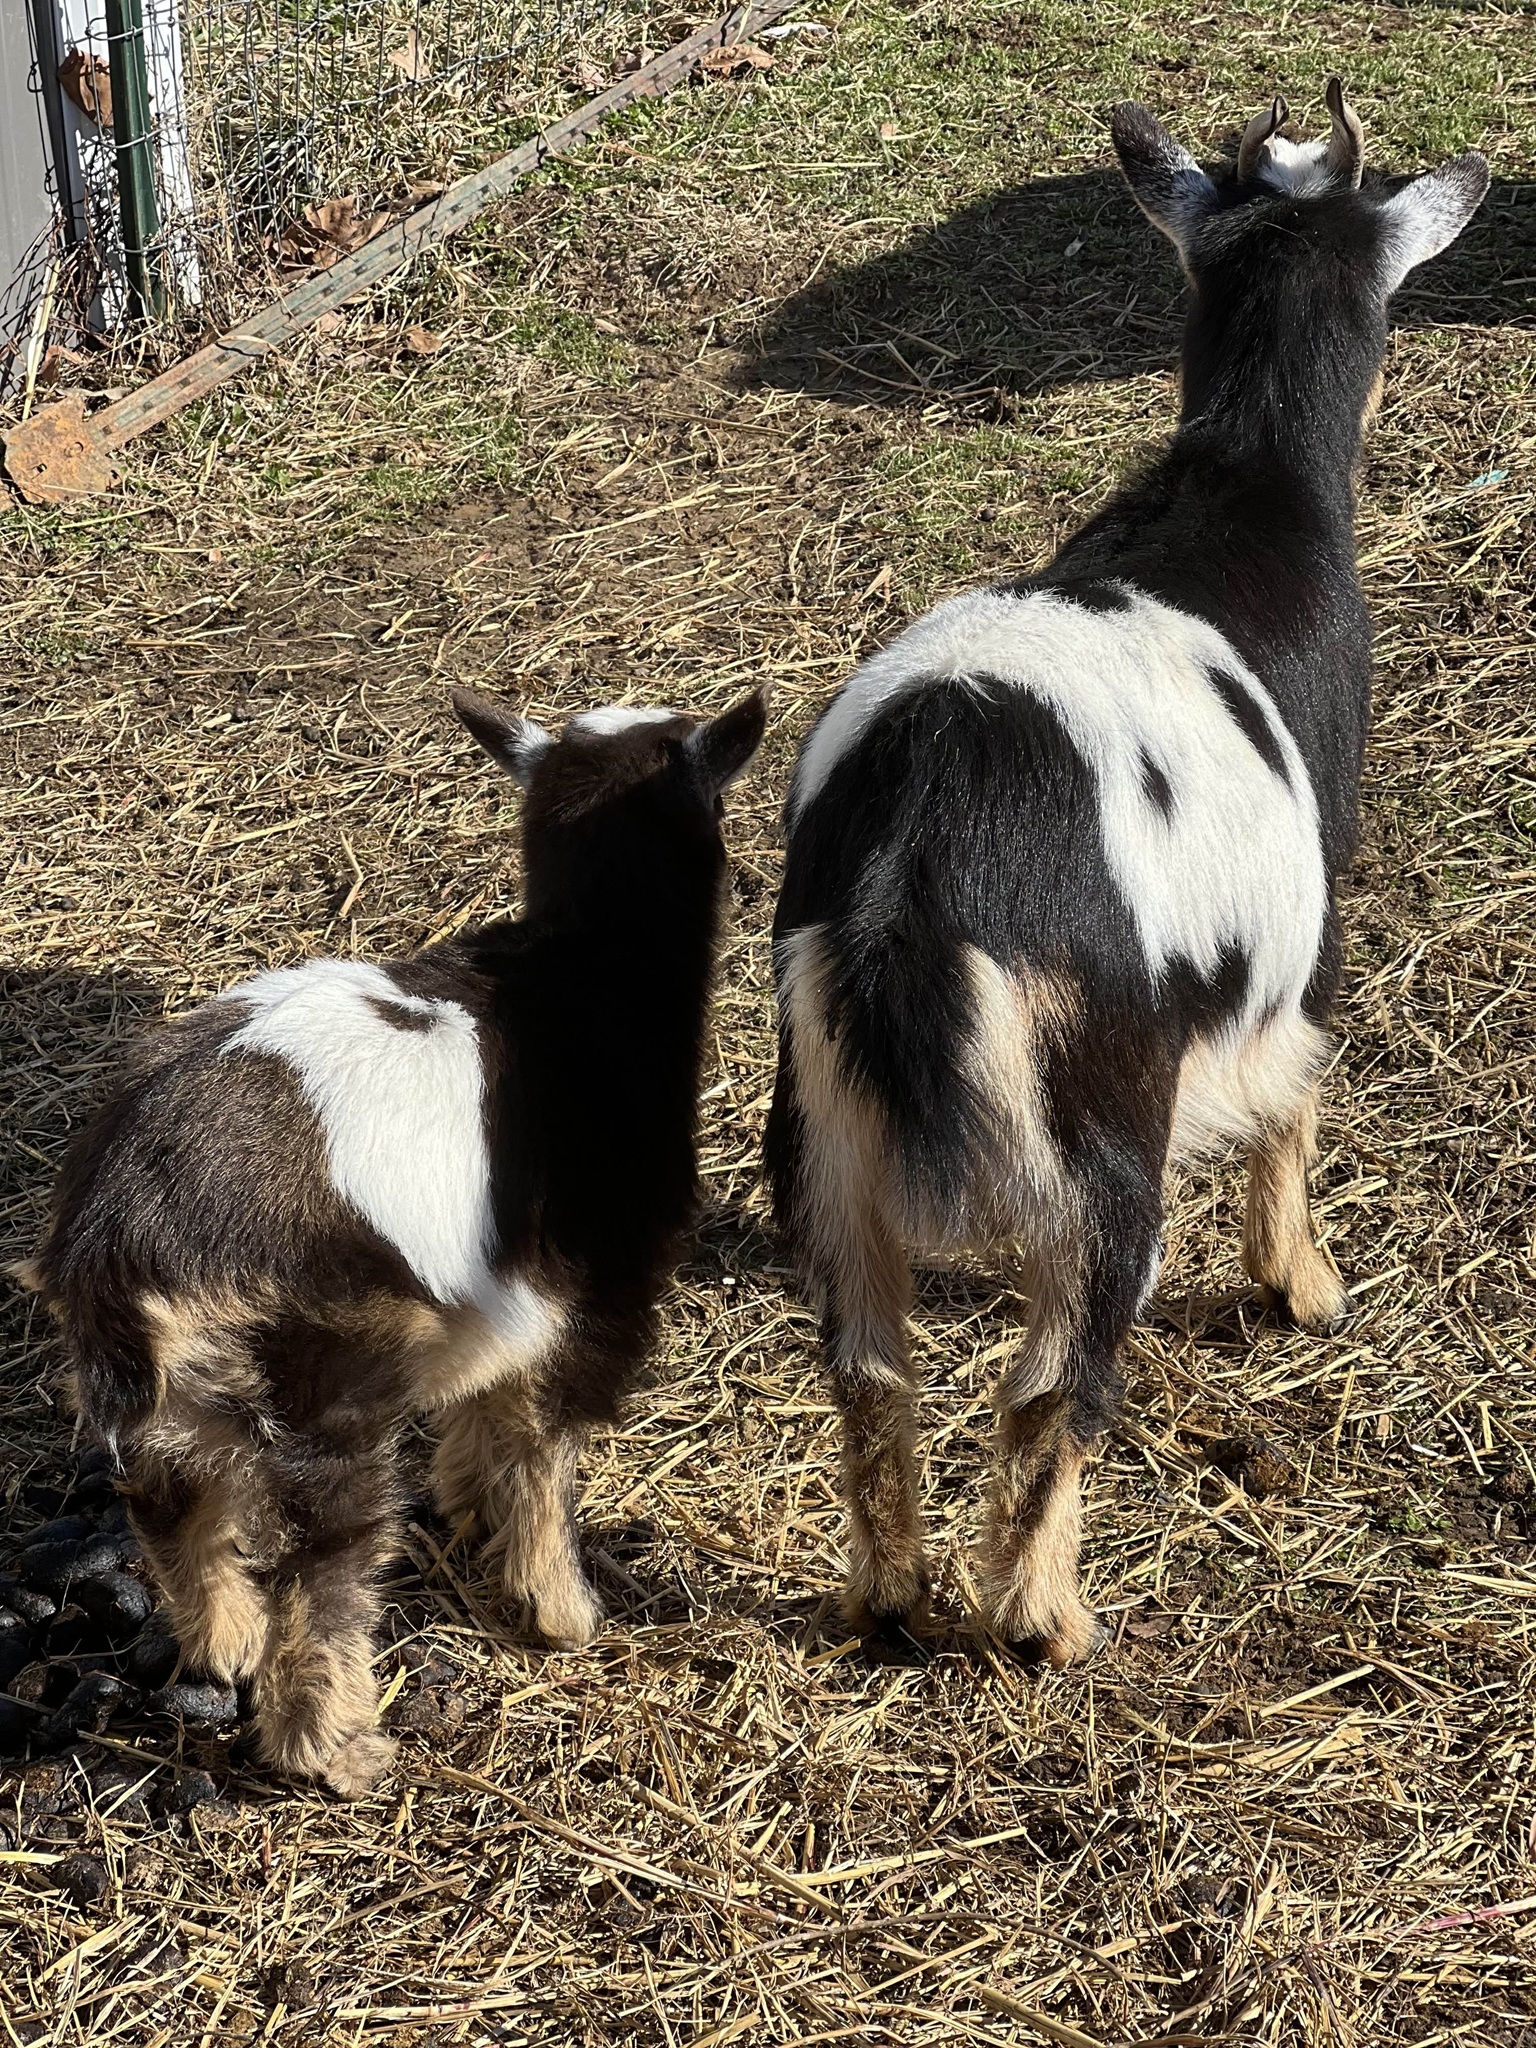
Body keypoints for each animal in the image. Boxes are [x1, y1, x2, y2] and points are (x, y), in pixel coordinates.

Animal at [17, 686, 767, 1795]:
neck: (588, 972)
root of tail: (123, 1227)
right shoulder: (602, 1284)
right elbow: (546, 1445)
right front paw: (560, 1611)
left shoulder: (504, 1286)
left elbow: (494, 1406)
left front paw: (465, 1499)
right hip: (327, 1375)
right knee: (324, 1560)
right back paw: (335, 1746)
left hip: (180, 1402)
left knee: (172, 1506)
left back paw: (225, 1644)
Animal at [766, 84, 1487, 1666]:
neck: (1246, 481)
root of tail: (918, 842)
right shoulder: (1307, 928)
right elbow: (1297, 1091)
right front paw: (1304, 1286)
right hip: (1110, 1115)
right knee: (1054, 1376)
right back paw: (1045, 1618)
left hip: (824, 1118)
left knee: (869, 1367)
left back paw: (887, 1598)